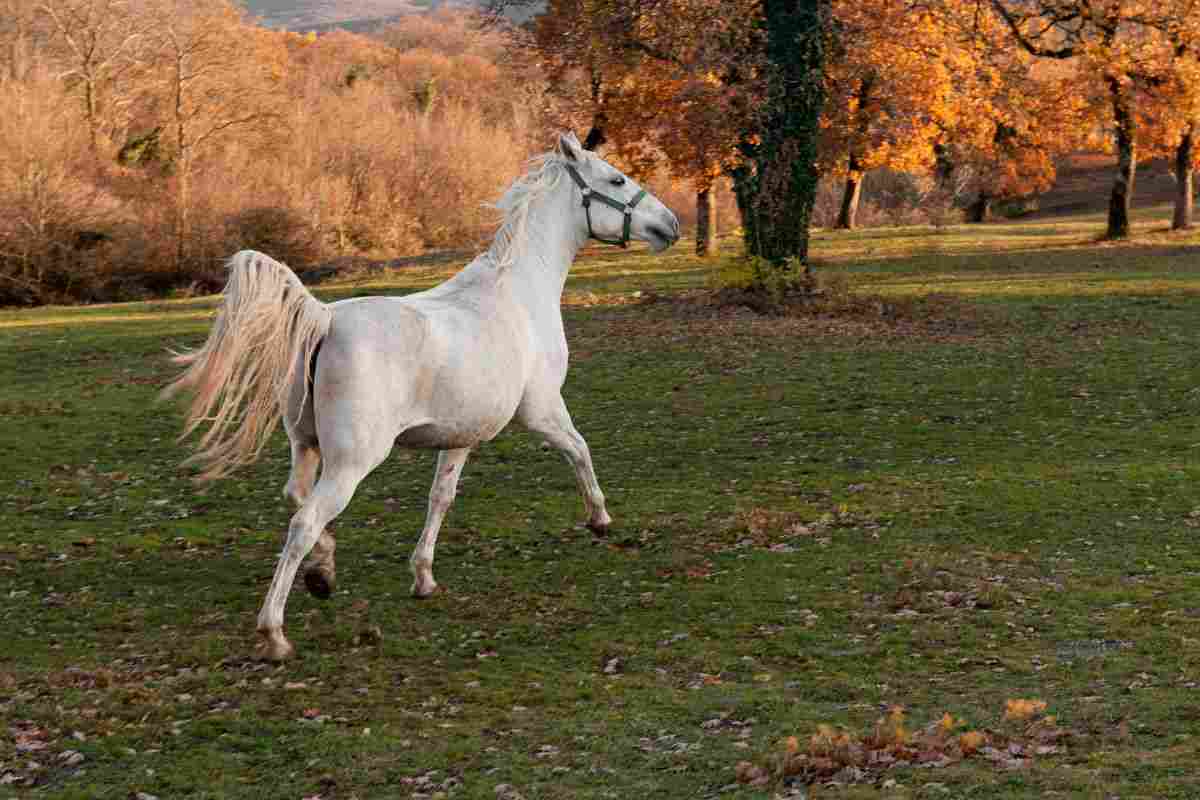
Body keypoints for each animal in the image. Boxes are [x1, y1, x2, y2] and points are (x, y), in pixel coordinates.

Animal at [162, 132, 680, 661]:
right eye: (615, 180)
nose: (671, 225)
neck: (518, 292)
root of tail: (324, 319)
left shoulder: (460, 436)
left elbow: (440, 498)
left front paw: (423, 577)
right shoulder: (541, 410)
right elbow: (579, 449)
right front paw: (600, 518)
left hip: (305, 445)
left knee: (296, 498)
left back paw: (322, 573)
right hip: (352, 461)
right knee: (303, 523)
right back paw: (275, 633)